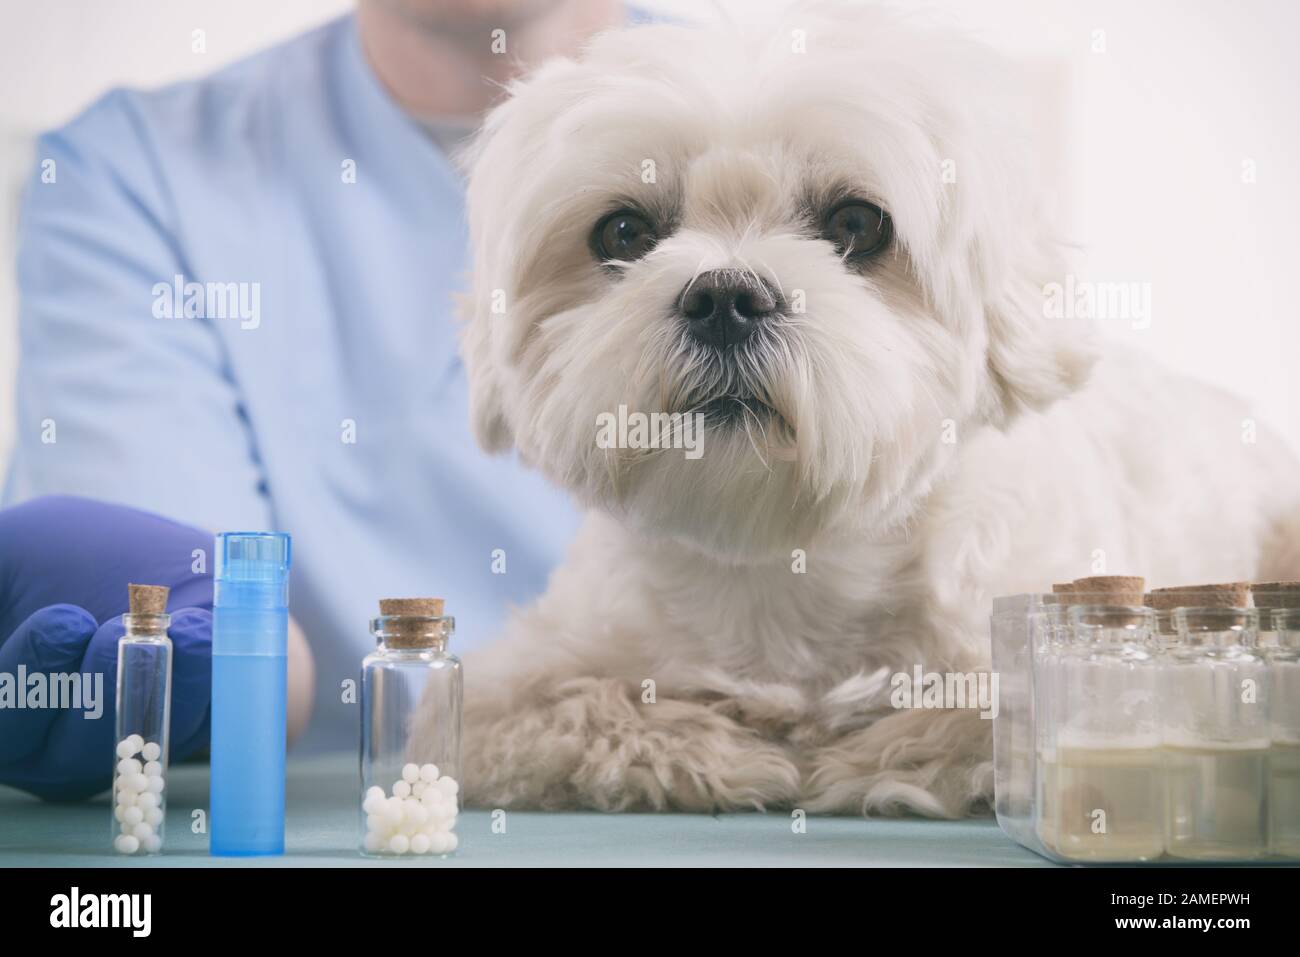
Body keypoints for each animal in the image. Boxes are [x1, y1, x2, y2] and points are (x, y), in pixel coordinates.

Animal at [449, 3, 1300, 816]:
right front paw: (712, 745)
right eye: (623, 231)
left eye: (857, 224)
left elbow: (980, 709)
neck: (783, 561)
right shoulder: (515, 681)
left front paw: (850, 754)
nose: (724, 298)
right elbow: (562, 704)